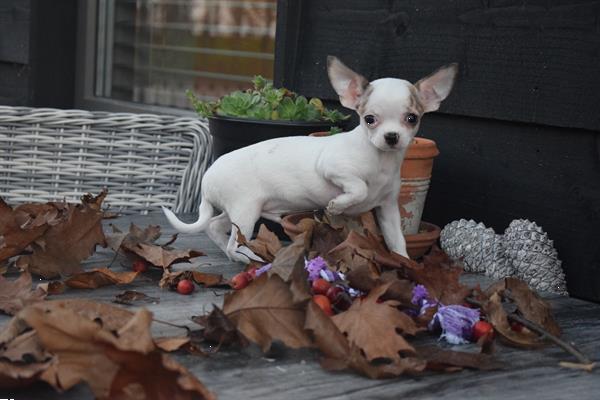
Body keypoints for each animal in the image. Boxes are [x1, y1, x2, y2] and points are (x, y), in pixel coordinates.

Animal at [162, 56, 458, 262]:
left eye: (412, 118)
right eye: (369, 119)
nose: (392, 137)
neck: (381, 161)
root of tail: (207, 178)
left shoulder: (388, 210)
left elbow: (397, 241)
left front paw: (405, 263)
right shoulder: (332, 168)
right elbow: (359, 188)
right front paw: (337, 205)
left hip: (237, 211)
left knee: (214, 227)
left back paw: (231, 251)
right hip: (245, 210)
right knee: (235, 242)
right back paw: (250, 258)